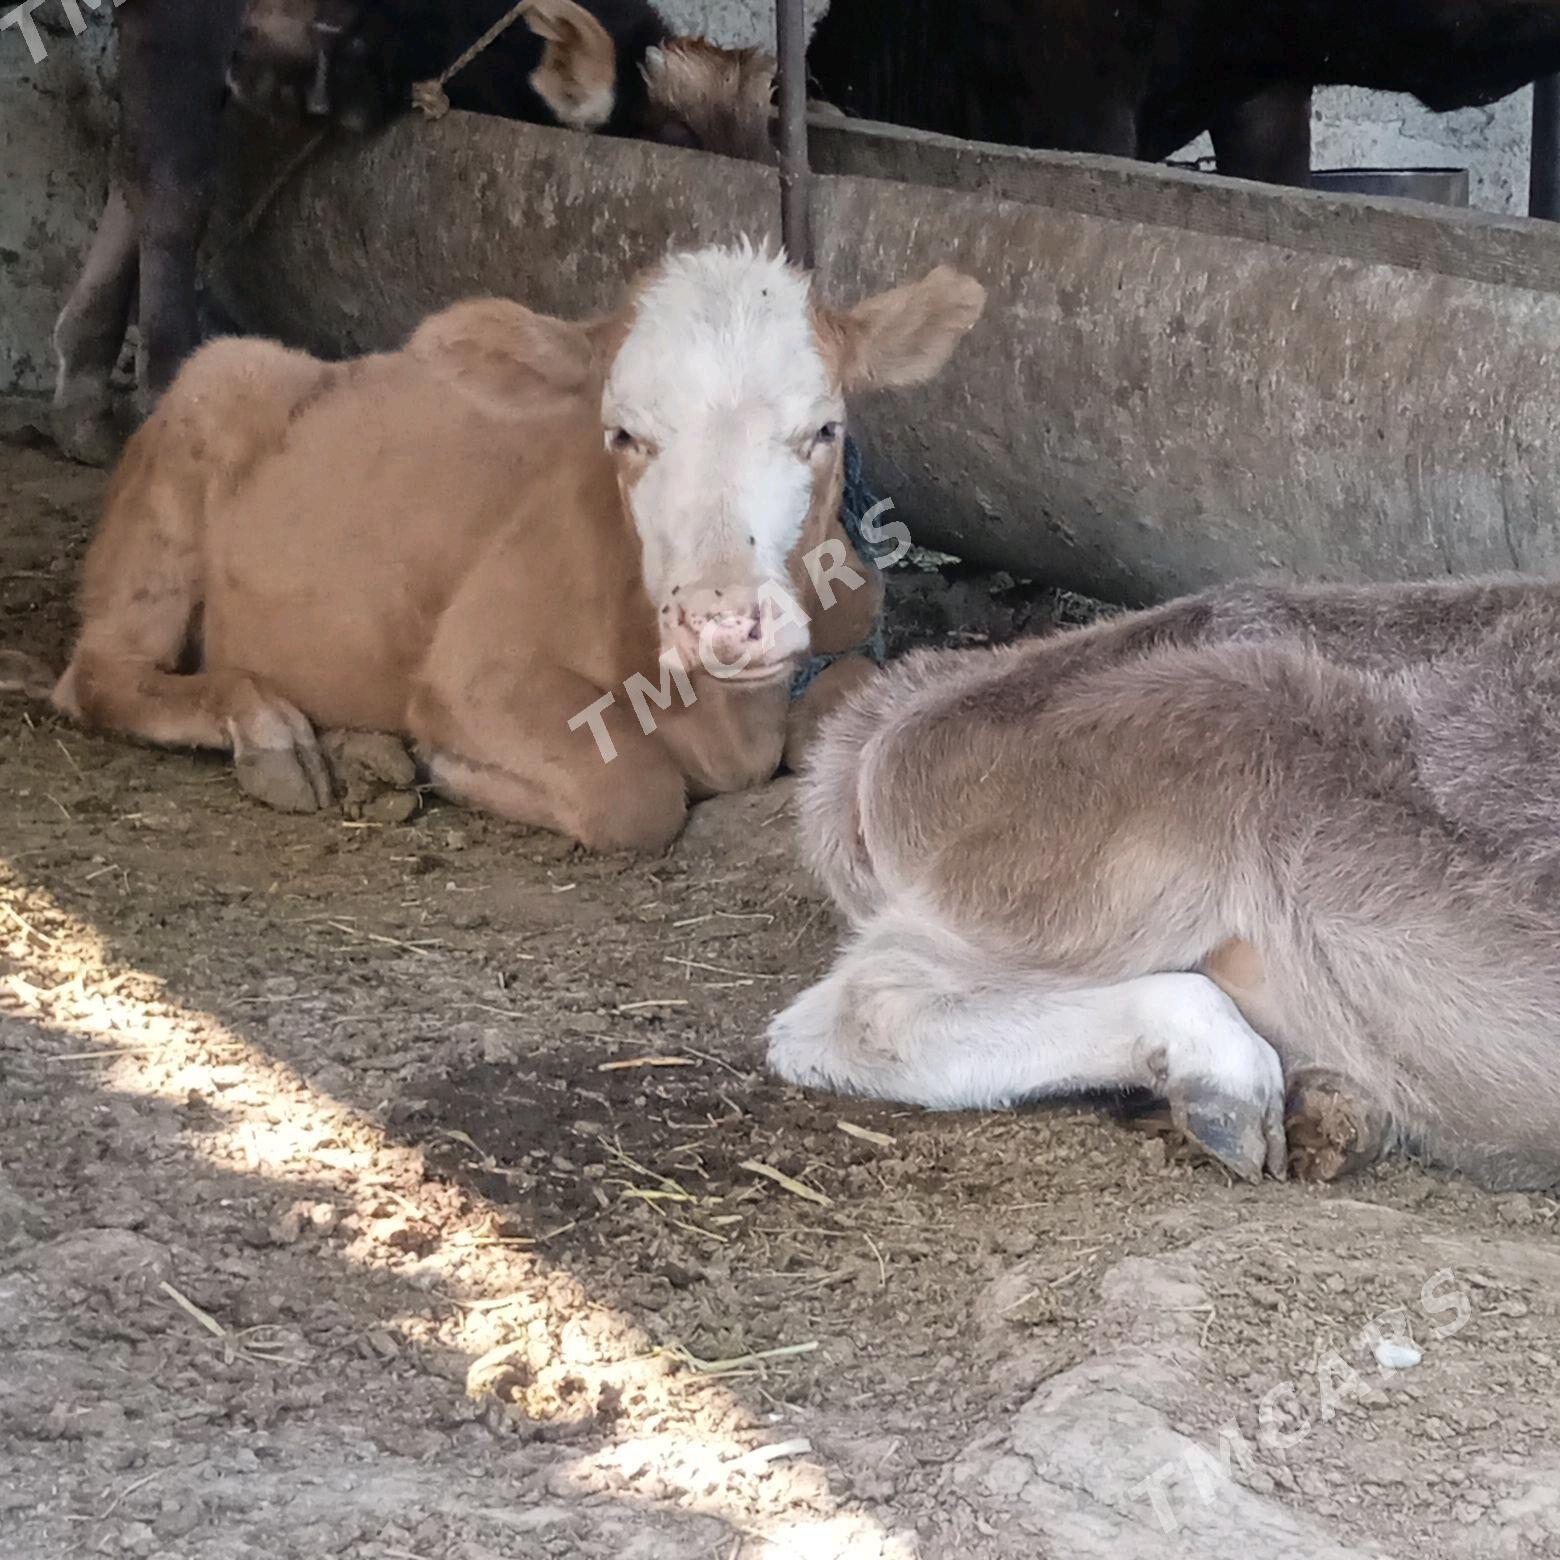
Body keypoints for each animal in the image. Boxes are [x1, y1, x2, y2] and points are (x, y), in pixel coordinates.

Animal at [51, 244, 985, 854]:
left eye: (824, 430)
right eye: (622, 434)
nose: (724, 620)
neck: (727, 720)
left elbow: (851, 691)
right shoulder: (473, 669)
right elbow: (634, 792)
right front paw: (447, 766)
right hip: (187, 447)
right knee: (100, 674)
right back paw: (275, 736)